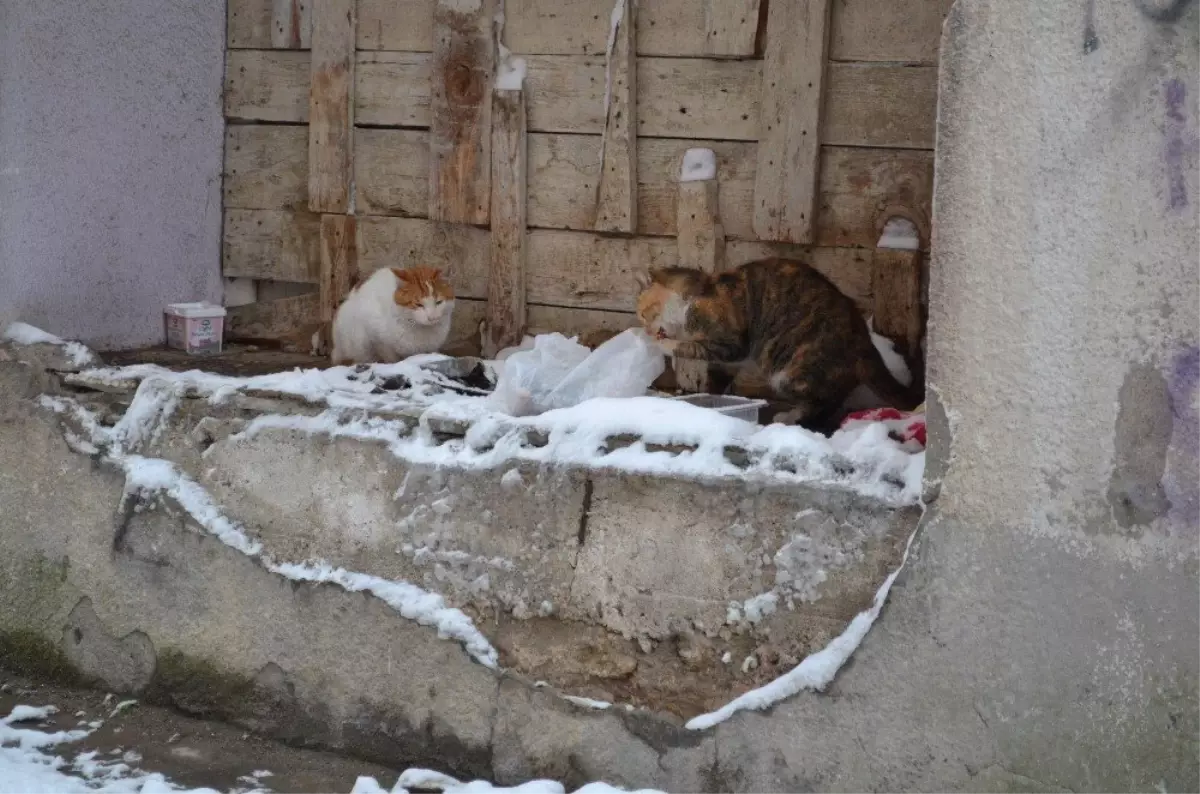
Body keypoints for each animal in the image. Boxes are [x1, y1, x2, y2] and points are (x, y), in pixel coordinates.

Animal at [638, 257, 916, 429]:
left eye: (642, 314)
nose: (644, 328)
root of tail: (864, 342)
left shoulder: (730, 342)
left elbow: (692, 346)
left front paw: (662, 344)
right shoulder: (728, 362)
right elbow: (716, 379)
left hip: (792, 368)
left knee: (824, 403)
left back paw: (789, 416)